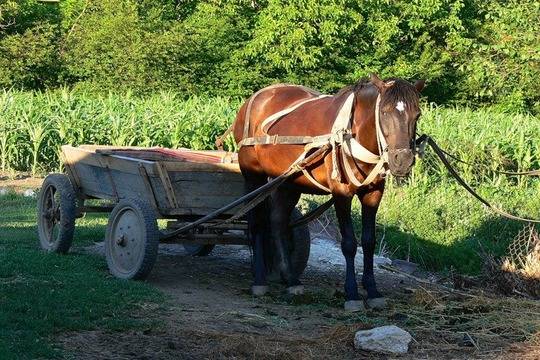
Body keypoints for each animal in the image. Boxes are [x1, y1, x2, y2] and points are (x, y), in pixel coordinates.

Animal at [234, 74, 424, 310]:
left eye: (417, 114)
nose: (402, 160)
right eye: (385, 112)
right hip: (254, 177)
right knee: (258, 224)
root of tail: (252, 101)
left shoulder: (373, 194)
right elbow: (349, 243)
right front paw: (351, 293)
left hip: (288, 182)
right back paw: (260, 279)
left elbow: (368, 242)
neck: (353, 134)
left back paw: (291, 279)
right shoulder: (341, 193)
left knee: (277, 223)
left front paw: (372, 290)